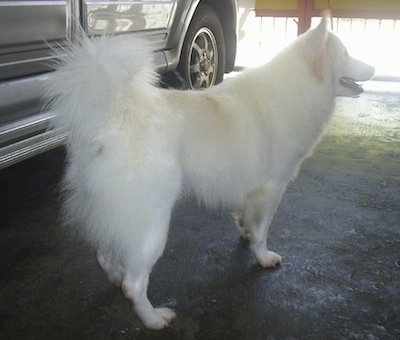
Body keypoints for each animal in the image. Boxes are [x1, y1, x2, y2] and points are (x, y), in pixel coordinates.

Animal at [45, 14, 374, 328]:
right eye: (346, 53)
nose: (372, 68)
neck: (299, 87)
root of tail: (110, 116)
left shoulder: (249, 190)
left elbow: (246, 221)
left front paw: (244, 233)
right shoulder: (270, 190)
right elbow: (263, 231)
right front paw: (264, 257)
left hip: (114, 214)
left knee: (104, 254)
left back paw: (115, 278)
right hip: (151, 225)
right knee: (134, 284)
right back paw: (154, 318)